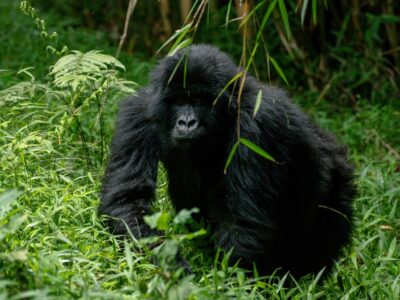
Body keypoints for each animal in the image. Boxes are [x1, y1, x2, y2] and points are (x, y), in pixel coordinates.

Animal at [99, 44, 354, 276]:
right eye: (179, 100)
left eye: (200, 101)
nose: (186, 123)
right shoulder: (138, 114)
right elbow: (127, 201)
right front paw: (172, 265)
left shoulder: (258, 124)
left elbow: (245, 222)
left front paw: (220, 285)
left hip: (338, 178)